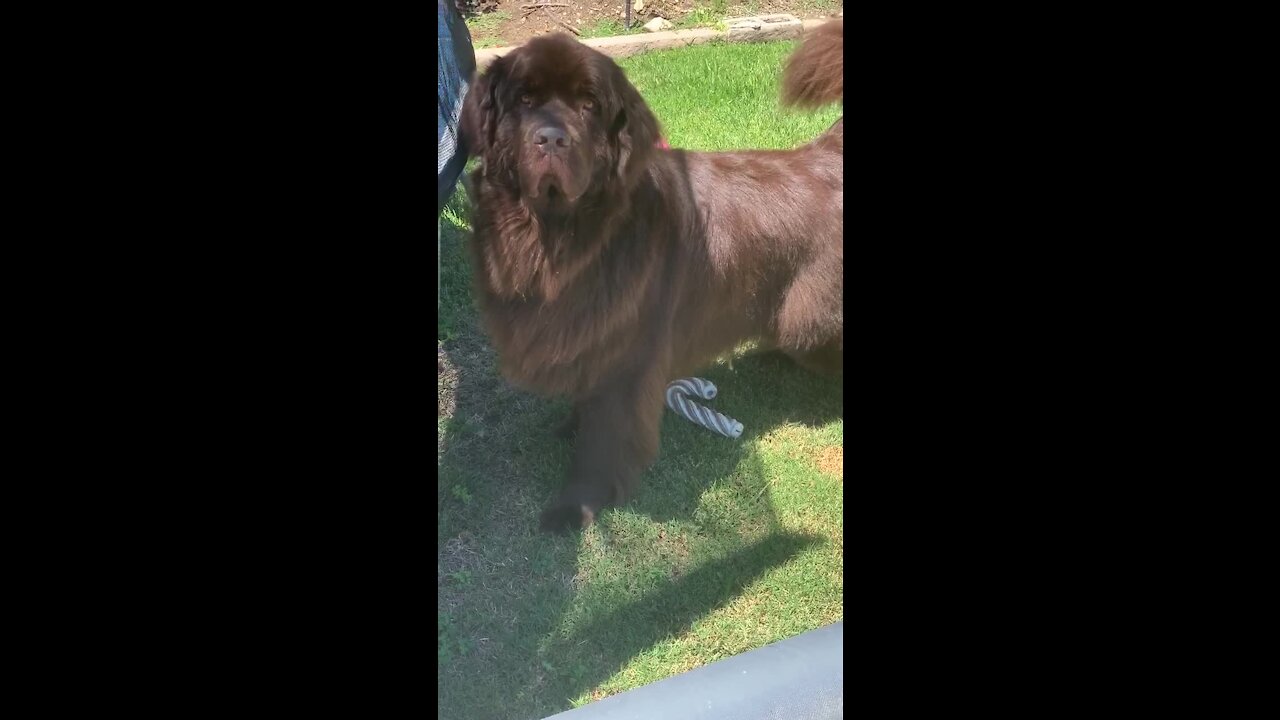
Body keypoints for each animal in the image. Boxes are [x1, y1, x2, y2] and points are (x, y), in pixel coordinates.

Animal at [458, 22, 839, 530]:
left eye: (589, 105)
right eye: (524, 99)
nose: (552, 139)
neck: (560, 236)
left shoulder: (627, 358)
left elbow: (603, 441)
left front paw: (575, 506)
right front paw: (570, 426)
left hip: (811, 317)